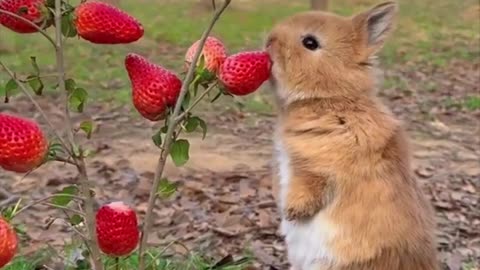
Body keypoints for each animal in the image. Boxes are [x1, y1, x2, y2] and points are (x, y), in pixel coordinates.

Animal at [266, 2, 438, 270]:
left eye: (310, 43)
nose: (268, 42)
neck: (332, 98)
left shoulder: (321, 166)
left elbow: (309, 186)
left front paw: (292, 211)